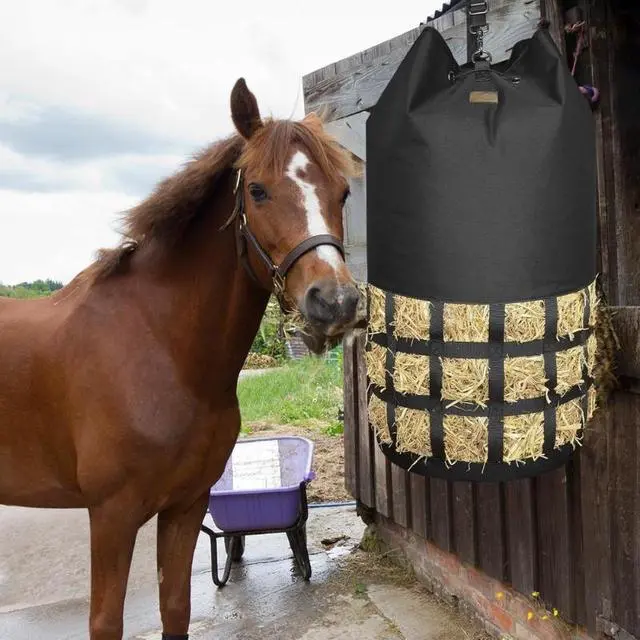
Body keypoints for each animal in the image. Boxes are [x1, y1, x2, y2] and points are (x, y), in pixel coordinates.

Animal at [0, 78, 363, 640]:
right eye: (257, 190)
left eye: (341, 192)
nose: (335, 303)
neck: (161, 349)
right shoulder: (112, 515)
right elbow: (105, 621)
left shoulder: (186, 506)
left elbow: (176, 606)